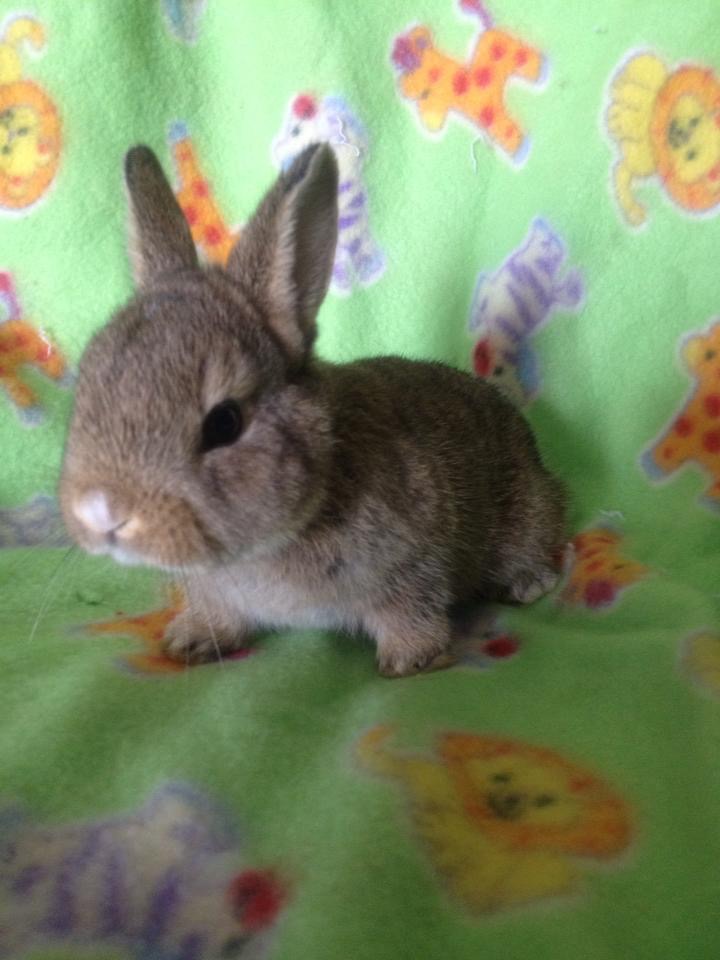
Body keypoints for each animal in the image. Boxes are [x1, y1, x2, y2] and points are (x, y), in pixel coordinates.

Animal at [60, 142, 567, 678]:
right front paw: (190, 641)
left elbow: (413, 611)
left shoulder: (413, 562)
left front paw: (409, 661)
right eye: (88, 383)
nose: (102, 512)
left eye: (225, 422)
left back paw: (527, 583)